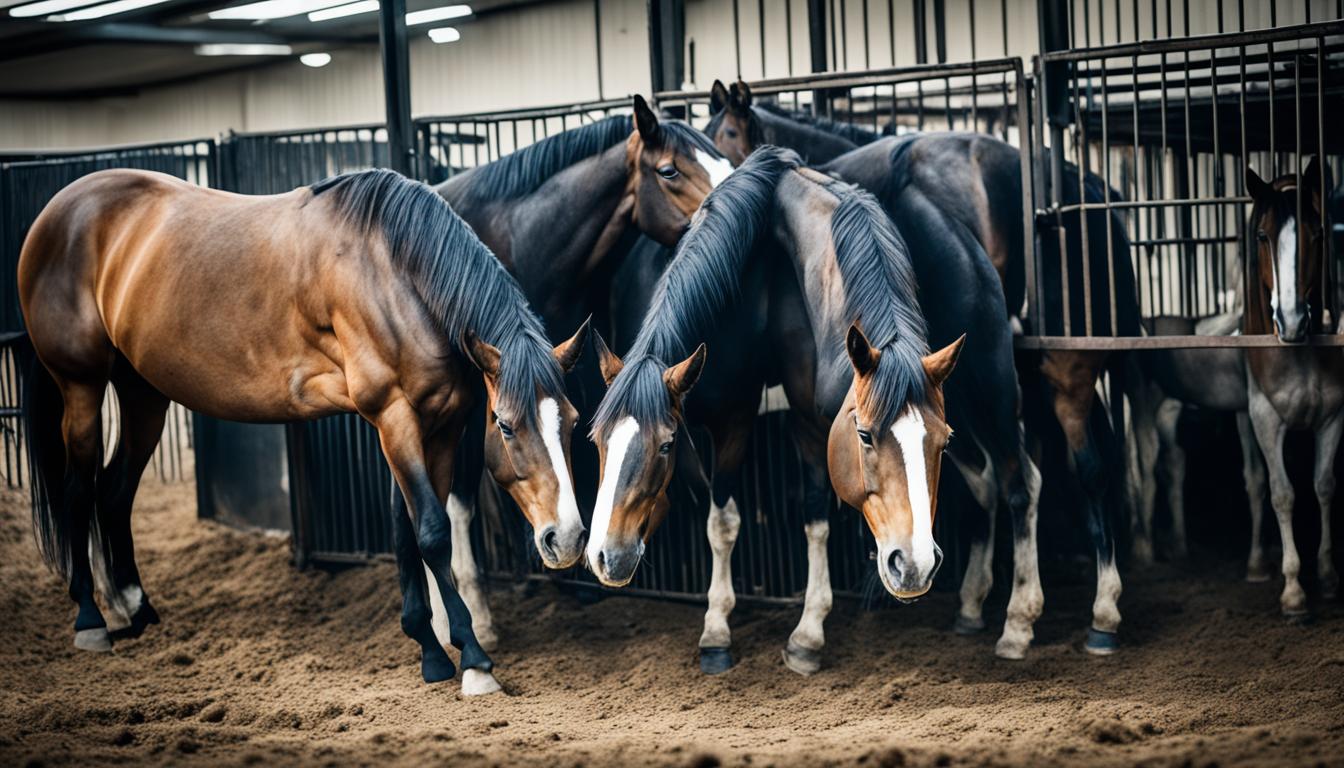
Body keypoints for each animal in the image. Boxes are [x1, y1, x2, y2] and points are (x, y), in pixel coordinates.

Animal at [19, 167, 588, 696]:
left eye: (573, 420)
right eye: (506, 426)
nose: (567, 538)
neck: (394, 275)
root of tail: (56, 212)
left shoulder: (438, 425)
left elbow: (408, 530)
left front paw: (430, 652)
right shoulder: (394, 416)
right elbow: (431, 532)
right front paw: (471, 659)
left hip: (142, 395)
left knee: (114, 492)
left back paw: (135, 609)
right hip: (81, 387)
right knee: (78, 491)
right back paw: (91, 621)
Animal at [1127, 313, 1268, 579]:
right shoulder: (1247, 408)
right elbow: (1257, 476)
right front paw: (1257, 567)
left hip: (1167, 404)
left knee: (1171, 459)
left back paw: (1177, 546)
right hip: (1144, 396)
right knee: (1144, 457)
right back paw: (1145, 550)